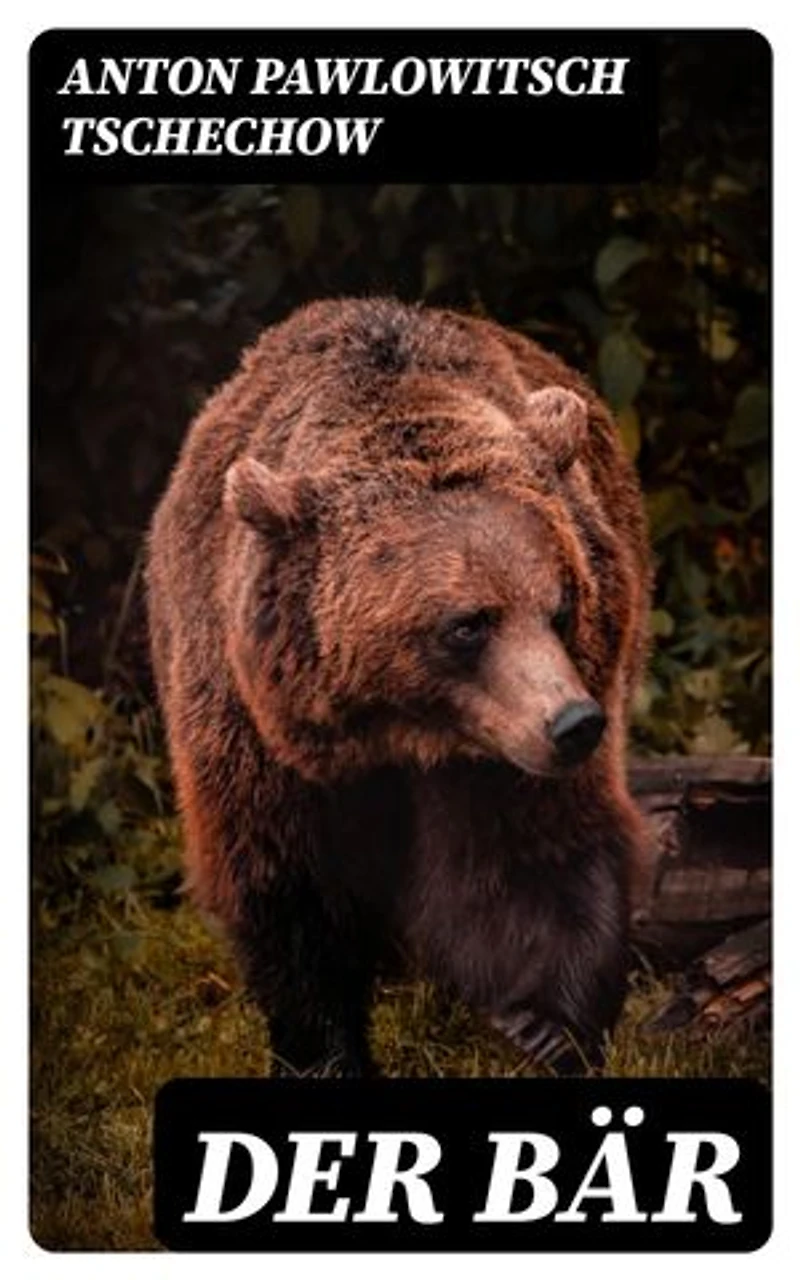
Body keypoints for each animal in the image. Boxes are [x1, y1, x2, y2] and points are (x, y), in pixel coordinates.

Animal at [145, 296, 652, 1077]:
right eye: (468, 625)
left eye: (561, 604)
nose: (574, 723)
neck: (401, 732)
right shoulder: (254, 731)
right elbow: (287, 890)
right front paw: (324, 1050)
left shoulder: (505, 751)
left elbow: (538, 854)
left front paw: (546, 1024)